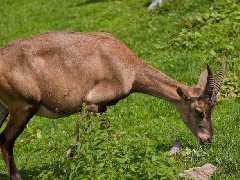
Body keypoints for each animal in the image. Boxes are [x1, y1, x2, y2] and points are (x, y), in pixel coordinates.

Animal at [0, 31, 225, 179]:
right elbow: (82, 139)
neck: (122, 63)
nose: (207, 139)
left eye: (213, 108)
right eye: (198, 110)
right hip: (23, 108)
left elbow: (104, 135)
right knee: (5, 140)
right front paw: (73, 158)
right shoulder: (91, 102)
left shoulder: (102, 107)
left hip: (5, 108)